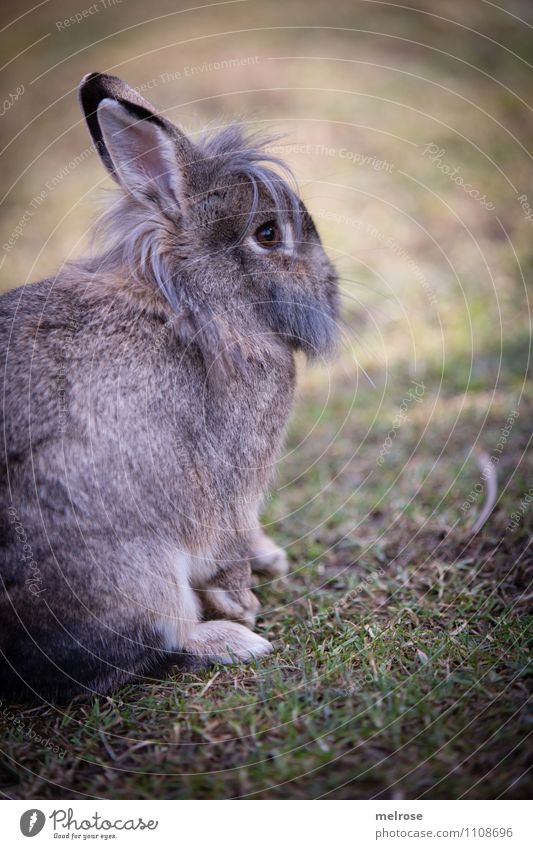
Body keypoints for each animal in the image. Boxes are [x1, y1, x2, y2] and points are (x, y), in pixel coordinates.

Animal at [0, 73, 338, 700]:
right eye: (267, 233)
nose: (329, 283)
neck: (198, 305)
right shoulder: (229, 482)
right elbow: (227, 549)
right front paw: (244, 601)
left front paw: (270, 561)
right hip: (131, 566)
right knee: (159, 638)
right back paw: (233, 640)